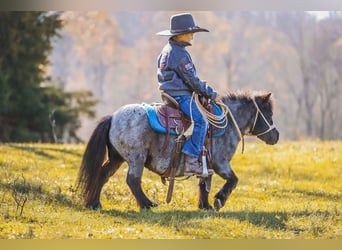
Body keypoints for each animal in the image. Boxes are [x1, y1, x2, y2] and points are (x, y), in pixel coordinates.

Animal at [76, 90, 280, 211]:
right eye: (269, 114)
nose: (276, 136)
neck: (226, 123)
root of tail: (113, 117)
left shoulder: (208, 165)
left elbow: (204, 184)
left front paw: (205, 205)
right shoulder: (221, 163)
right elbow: (233, 180)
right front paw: (219, 200)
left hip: (116, 158)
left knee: (103, 175)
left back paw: (95, 203)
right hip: (136, 158)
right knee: (132, 180)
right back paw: (147, 204)